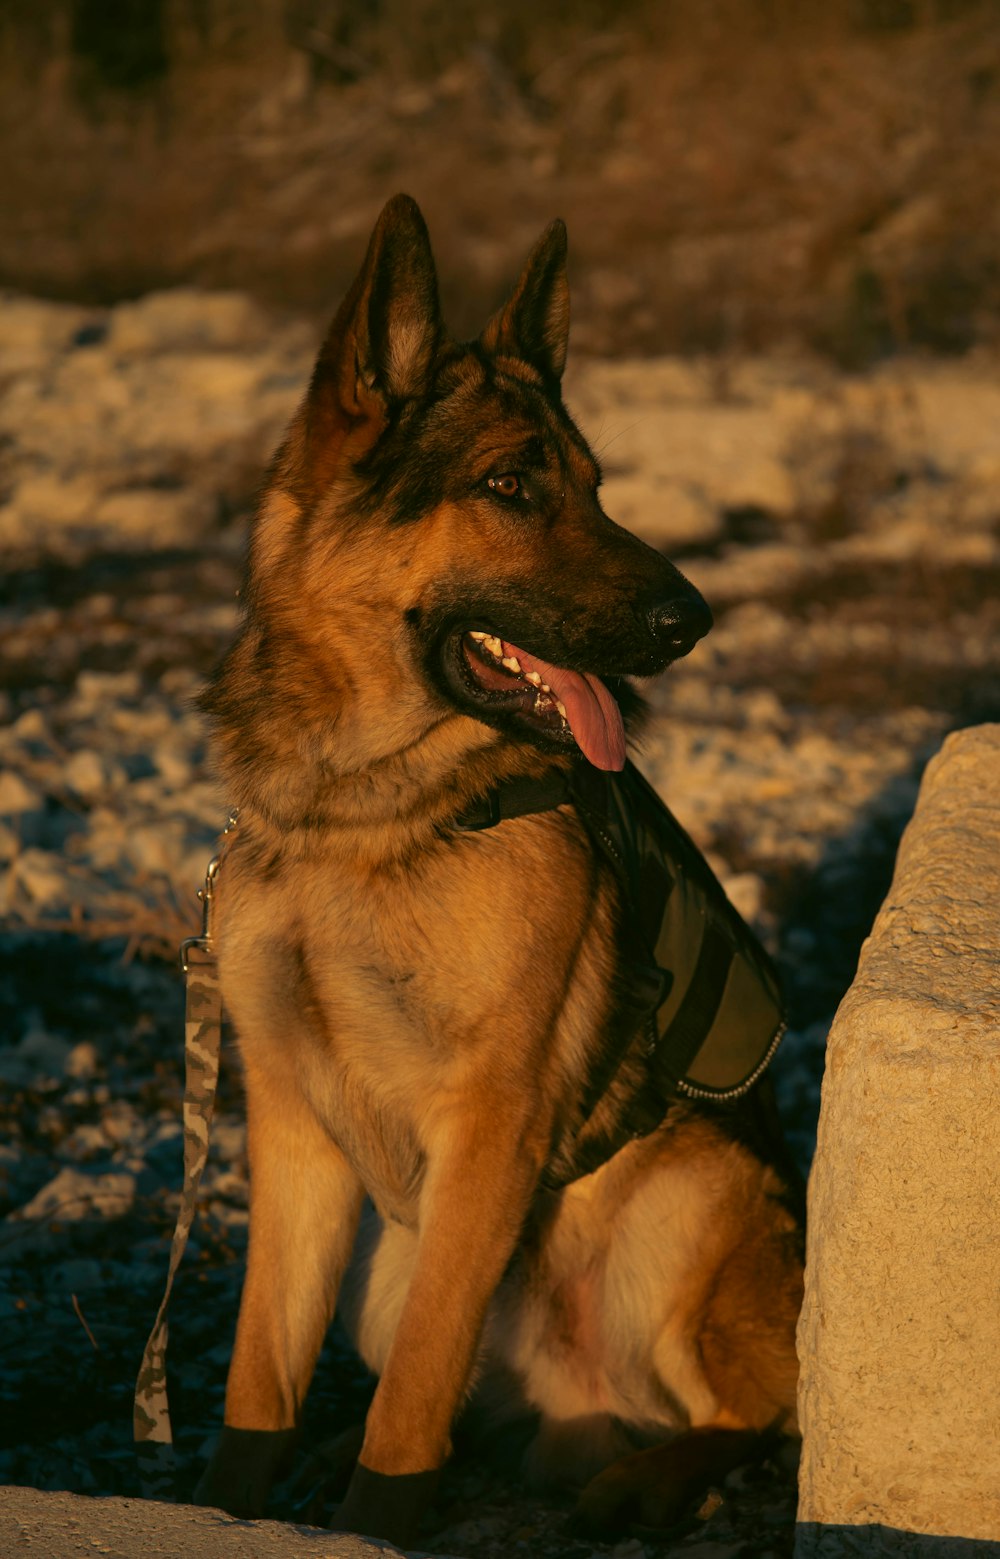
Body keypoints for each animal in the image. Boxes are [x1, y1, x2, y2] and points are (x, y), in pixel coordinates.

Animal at [195, 194, 804, 1546]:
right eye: (509, 485)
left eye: (596, 489)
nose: (692, 621)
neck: (361, 819)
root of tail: (578, 1404)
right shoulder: (294, 1131)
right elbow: (258, 1384)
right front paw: (232, 1504)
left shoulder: (488, 1126)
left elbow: (412, 1402)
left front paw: (368, 1516)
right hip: (391, 1259)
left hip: (692, 1200)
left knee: (753, 1410)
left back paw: (641, 1483)